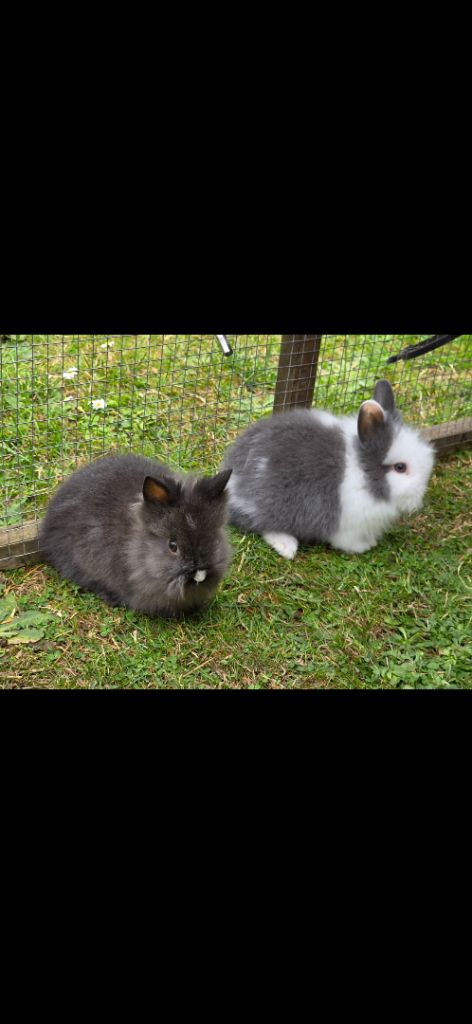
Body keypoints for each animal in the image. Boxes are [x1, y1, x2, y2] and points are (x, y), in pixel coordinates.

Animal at [223, 379, 434, 559]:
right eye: (400, 467)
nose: (421, 493)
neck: (362, 471)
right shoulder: (348, 524)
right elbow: (347, 540)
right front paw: (364, 546)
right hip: (276, 504)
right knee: (266, 525)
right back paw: (287, 547)